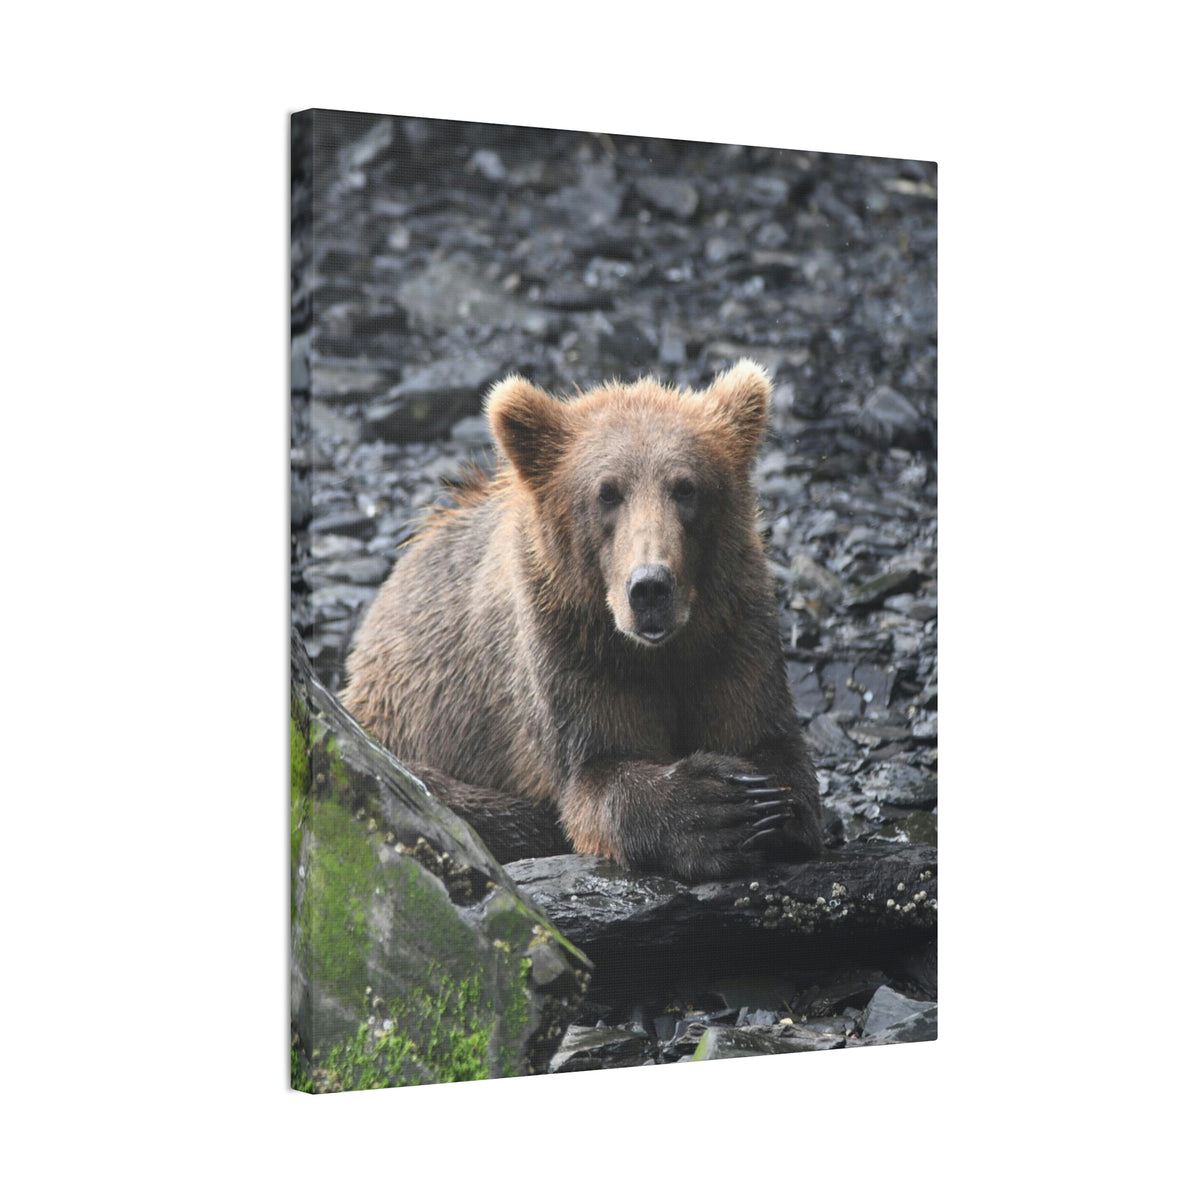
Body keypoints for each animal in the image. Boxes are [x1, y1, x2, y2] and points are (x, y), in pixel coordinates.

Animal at [341, 360, 823, 882]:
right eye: (607, 492)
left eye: (686, 487)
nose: (650, 587)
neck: (657, 652)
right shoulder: (568, 649)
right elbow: (596, 773)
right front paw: (715, 809)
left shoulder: (732, 630)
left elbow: (769, 741)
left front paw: (766, 805)